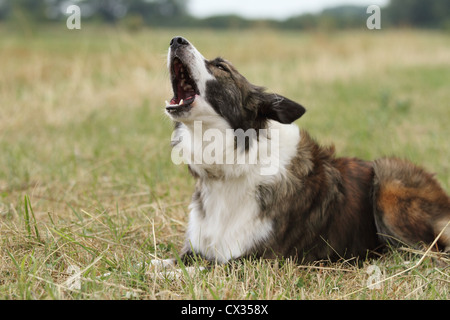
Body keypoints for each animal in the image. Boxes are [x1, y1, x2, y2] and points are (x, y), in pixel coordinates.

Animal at [163, 36, 450, 264]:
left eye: (221, 67)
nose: (176, 40)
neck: (231, 164)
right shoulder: (196, 249)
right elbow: (162, 265)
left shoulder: (258, 259)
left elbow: (200, 270)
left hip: (387, 179)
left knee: (430, 253)